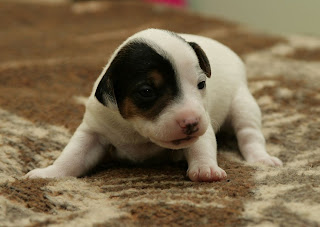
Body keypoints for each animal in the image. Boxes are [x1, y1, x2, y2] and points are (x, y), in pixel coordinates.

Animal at [27, 28, 282, 182]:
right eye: (147, 91)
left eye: (201, 84)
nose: (191, 122)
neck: (136, 130)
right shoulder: (95, 129)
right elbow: (73, 155)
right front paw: (49, 173)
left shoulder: (204, 123)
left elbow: (201, 145)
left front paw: (205, 169)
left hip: (243, 104)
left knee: (250, 134)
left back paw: (261, 158)